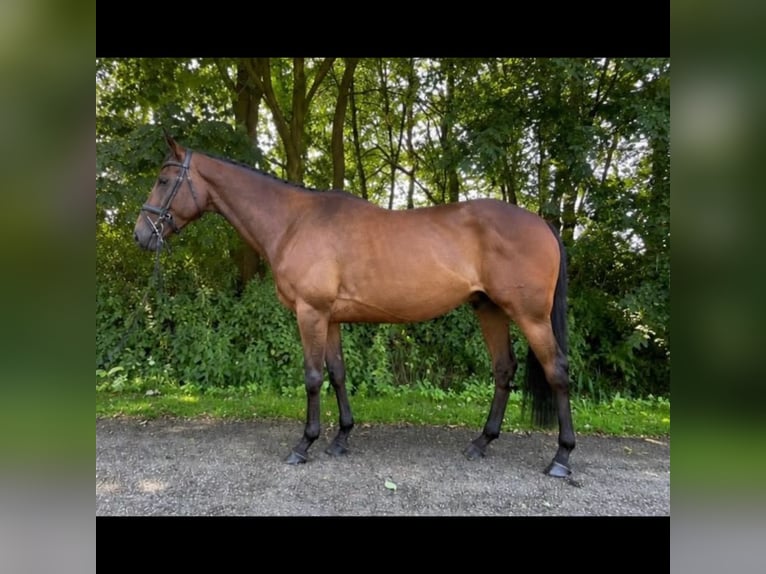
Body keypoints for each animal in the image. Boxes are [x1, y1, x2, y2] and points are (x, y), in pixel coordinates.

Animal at [133, 133, 576, 477]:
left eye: (163, 179)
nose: (141, 235)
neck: (293, 223)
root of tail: (542, 224)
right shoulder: (329, 317)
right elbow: (338, 373)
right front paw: (341, 437)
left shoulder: (310, 313)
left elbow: (313, 377)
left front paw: (304, 444)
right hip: (489, 309)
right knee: (504, 370)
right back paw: (481, 442)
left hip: (530, 316)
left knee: (556, 371)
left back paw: (561, 457)